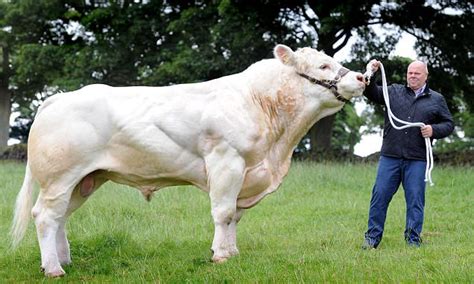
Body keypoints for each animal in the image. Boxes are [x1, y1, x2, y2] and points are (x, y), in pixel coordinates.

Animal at [11, 44, 366, 278]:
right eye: (323, 66)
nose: (363, 77)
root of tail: (59, 98)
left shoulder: (245, 174)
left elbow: (235, 216)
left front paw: (232, 252)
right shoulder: (227, 162)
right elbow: (224, 213)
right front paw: (220, 255)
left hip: (86, 179)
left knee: (60, 217)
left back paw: (63, 260)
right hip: (59, 177)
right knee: (45, 216)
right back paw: (53, 269)